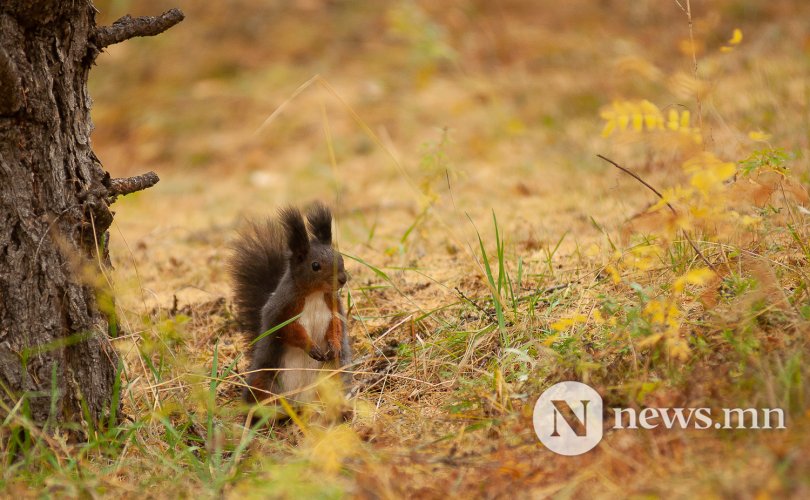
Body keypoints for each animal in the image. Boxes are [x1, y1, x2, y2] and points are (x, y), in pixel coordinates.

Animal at [229, 203, 352, 406]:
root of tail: (299, 401)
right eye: (315, 266)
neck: (315, 294)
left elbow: (335, 325)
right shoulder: (282, 311)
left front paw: (334, 345)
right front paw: (312, 347)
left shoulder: (333, 306)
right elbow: (289, 330)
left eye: (340, 257)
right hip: (264, 379)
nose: (343, 279)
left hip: (332, 376)